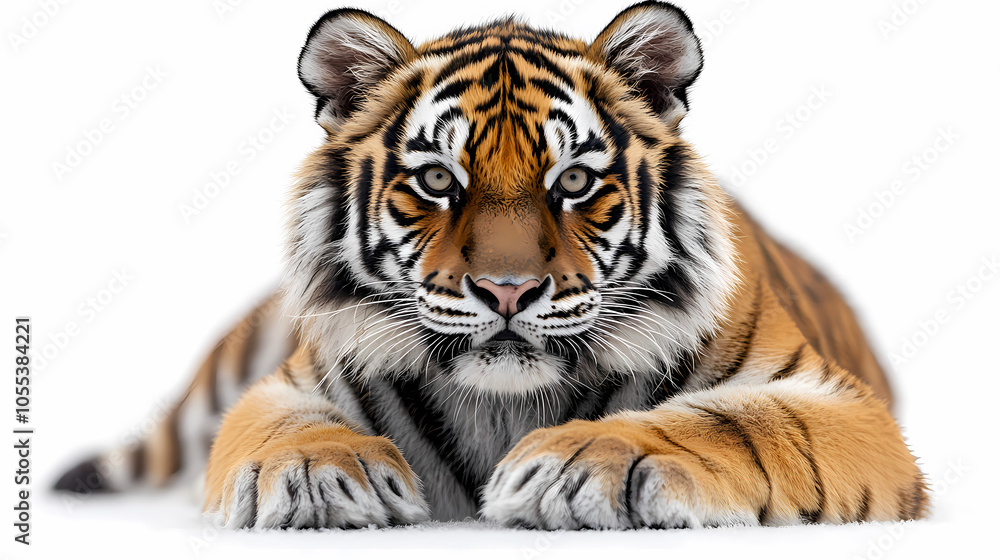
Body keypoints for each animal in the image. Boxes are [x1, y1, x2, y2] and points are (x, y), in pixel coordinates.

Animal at [55, 1, 928, 530]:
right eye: (439, 180)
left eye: (573, 182)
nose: (508, 292)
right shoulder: (286, 383)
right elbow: (284, 426)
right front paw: (319, 474)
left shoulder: (838, 403)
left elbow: (734, 420)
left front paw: (576, 465)